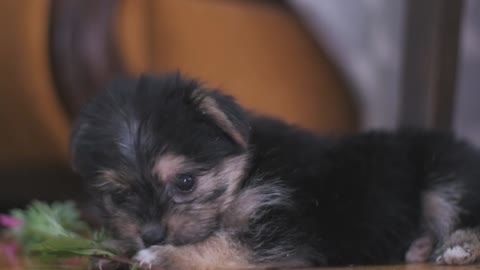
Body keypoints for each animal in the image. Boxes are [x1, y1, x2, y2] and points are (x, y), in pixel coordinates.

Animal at [68, 73, 480, 268]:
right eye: (119, 196)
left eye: (185, 182)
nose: (152, 235)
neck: (245, 173)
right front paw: (112, 246)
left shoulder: (287, 226)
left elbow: (227, 244)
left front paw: (164, 256)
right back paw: (420, 246)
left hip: (445, 172)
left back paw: (456, 247)